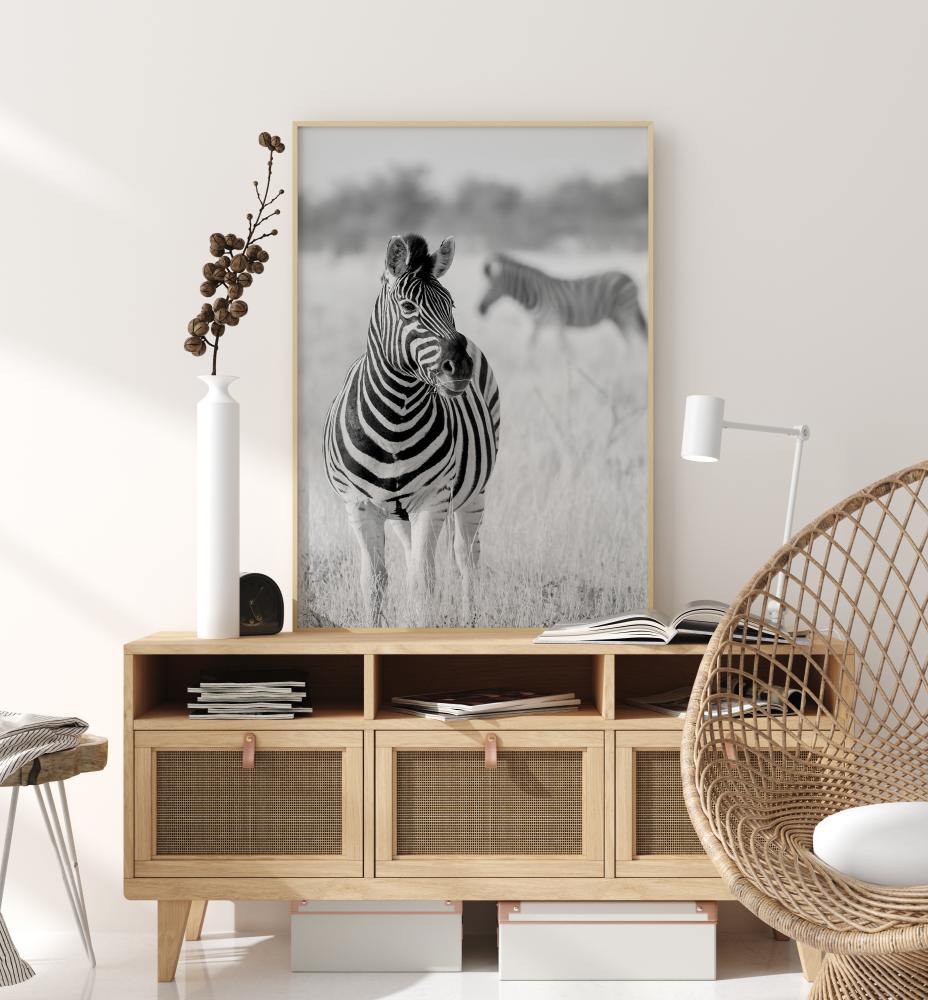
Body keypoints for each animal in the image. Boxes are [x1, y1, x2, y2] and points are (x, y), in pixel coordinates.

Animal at [323, 234, 500, 626]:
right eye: (407, 307)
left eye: (450, 304)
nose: (460, 367)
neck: (396, 419)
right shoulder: (359, 505)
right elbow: (374, 582)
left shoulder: (432, 500)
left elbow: (424, 581)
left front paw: (423, 625)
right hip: (400, 512)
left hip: (474, 492)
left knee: (467, 558)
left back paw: (470, 620)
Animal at [477, 253, 647, 347]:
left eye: (490, 286)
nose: (479, 309)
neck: (533, 294)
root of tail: (628, 277)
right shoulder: (536, 324)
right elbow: (529, 347)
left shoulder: (557, 322)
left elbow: (564, 348)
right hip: (617, 317)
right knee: (629, 341)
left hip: (626, 311)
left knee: (637, 338)